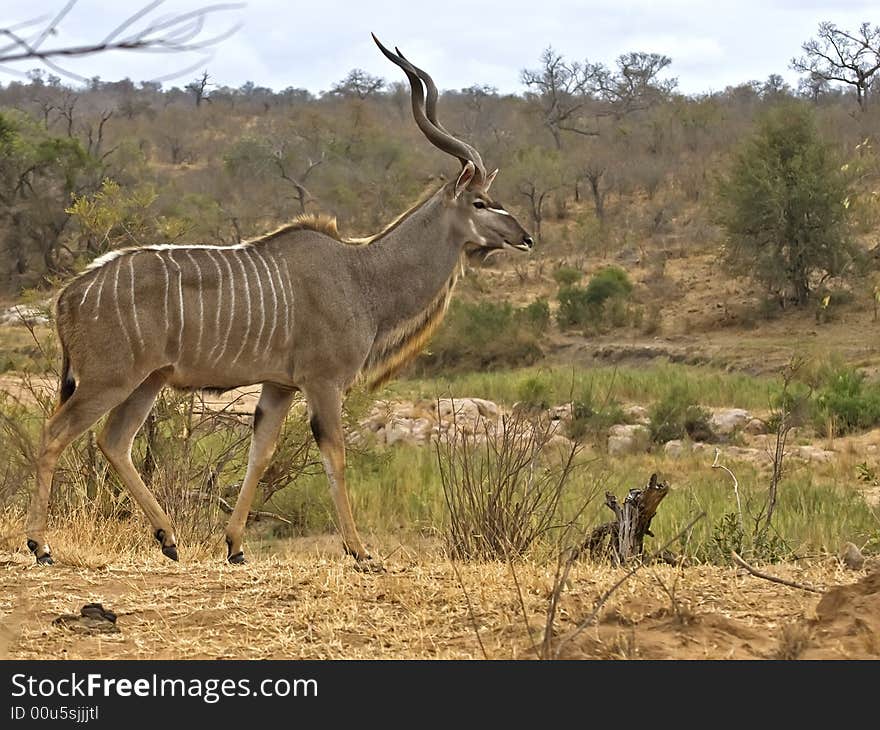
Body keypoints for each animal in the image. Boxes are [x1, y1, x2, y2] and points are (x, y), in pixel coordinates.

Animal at [27, 35, 532, 568]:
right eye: (480, 202)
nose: (526, 238)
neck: (361, 274)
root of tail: (68, 295)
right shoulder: (323, 382)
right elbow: (335, 454)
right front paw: (359, 551)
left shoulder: (279, 385)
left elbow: (261, 452)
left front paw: (235, 546)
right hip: (109, 379)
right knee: (56, 433)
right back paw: (41, 545)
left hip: (148, 380)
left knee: (114, 441)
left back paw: (168, 538)